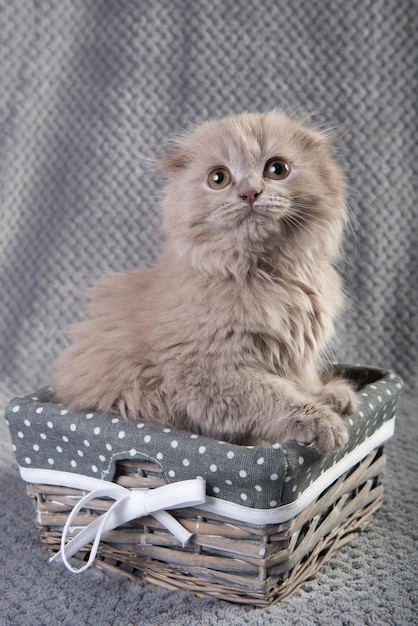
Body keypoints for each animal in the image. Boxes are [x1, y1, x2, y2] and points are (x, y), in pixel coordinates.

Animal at [52, 108, 358, 448]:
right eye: (218, 178)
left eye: (277, 169)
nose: (250, 193)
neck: (268, 275)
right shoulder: (209, 374)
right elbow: (274, 397)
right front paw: (321, 421)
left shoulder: (295, 356)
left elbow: (301, 381)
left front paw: (329, 394)